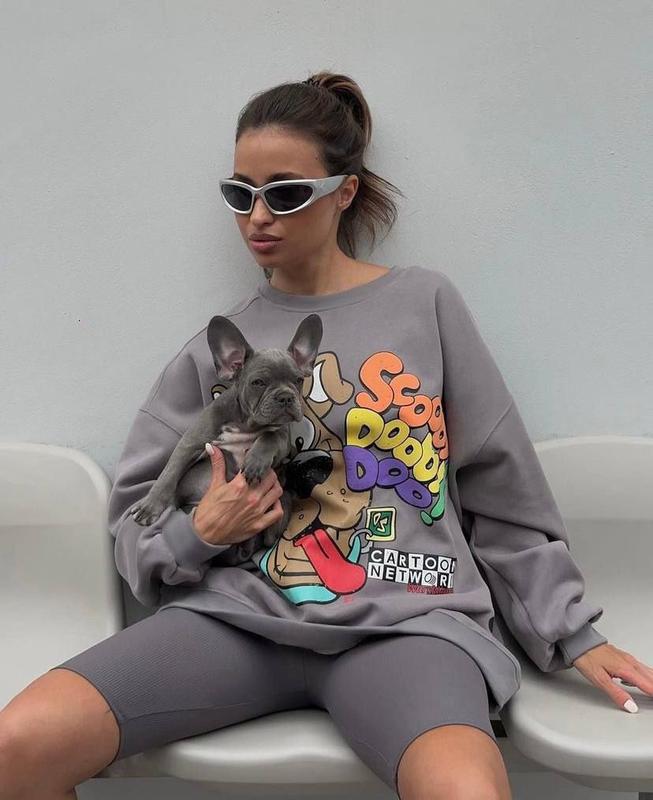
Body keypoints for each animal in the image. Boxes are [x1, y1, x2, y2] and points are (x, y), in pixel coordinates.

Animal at [129, 312, 323, 565]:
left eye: (298, 380)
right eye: (258, 382)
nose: (285, 397)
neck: (245, 422)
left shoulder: (282, 438)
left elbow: (269, 437)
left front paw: (255, 462)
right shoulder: (189, 444)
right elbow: (168, 474)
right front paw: (150, 506)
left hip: (280, 505)